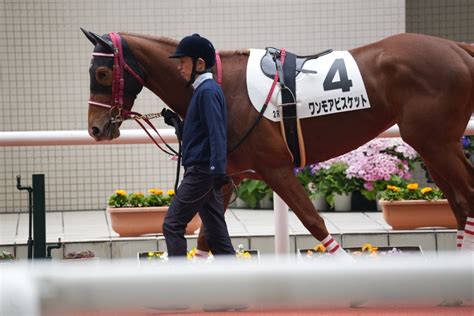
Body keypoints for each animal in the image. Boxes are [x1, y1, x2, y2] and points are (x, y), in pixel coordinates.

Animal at [81, 28, 474, 253]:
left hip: (436, 142)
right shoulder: (230, 177)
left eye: (101, 72)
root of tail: (458, 48)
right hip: (431, 144)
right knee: (459, 205)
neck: (218, 82)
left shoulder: (276, 168)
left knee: (467, 199)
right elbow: (208, 238)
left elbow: (315, 223)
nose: (96, 129)